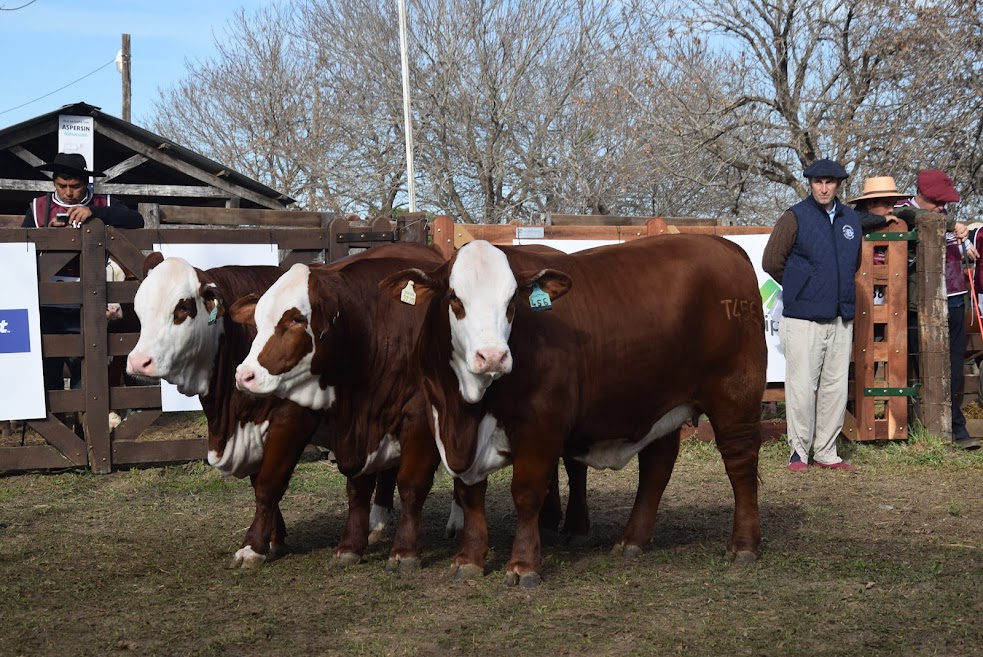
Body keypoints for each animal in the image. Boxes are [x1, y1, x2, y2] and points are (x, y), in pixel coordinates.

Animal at [126, 254, 396, 568]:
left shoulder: (292, 418)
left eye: (182, 308)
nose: (139, 362)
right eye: (139, 309)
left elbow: (268, 484)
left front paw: (253, 546)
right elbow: (258, 483)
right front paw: (274, 539)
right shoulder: (252, 428)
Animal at [384, 234, 768, 584]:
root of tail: (725, 246)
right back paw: (632, 541)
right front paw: (469, 559)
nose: (493, 356)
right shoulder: (447, 422)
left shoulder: (540, 424)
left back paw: (743, 546)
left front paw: (523, 565)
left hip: (735, 398)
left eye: (511, 301)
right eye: (454, 298)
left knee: (741, 466)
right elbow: (470, 493)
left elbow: (526, 493)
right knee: (656, 468)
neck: (466, 405)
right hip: (661, 401)